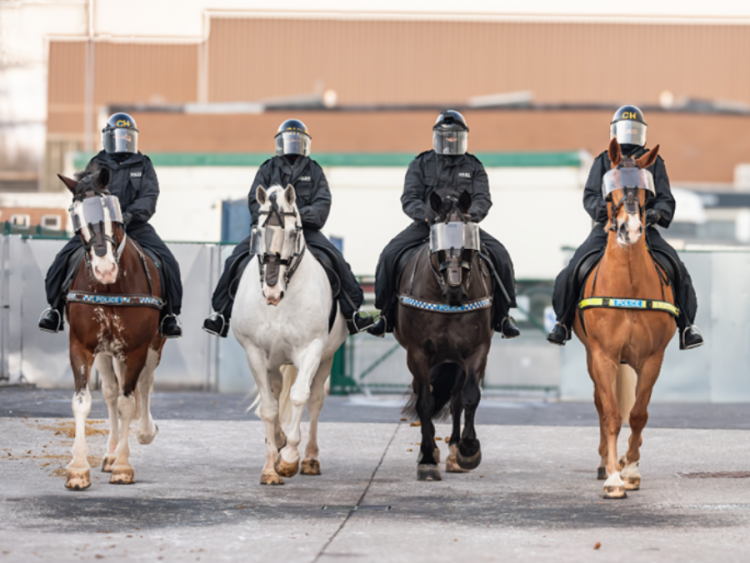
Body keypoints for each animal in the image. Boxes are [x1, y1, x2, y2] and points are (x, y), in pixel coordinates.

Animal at [57, 168, 165, 490]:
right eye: (76, 214)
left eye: (111, 211)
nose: (105, 268)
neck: (111, 288)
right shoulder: (81, 346)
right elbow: (83, 402)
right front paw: (78, 468)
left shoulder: (137, 349)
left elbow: (129, 402)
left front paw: (124, 465)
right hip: (107, 353)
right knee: (111, 393)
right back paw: (109, 452)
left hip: (152, 347)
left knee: (144, 384)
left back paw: (144, 432)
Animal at [232, 184, 348, 485]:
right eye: (258, 232)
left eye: (294, 232)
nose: (271, 290)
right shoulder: (255, 353)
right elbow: (269, 408)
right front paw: (271, 469)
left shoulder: (312, 350)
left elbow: (299, 397)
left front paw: (289, 460)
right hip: (273, 362)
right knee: (274, 394)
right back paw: (279, 440)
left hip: (326, 359)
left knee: (315, 401)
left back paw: (309, 459)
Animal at [395, 190, 495, 481]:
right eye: (438, 242)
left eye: (468, 242)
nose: (455, 288)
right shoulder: (417, 353)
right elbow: (425, 403)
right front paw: (428, 458)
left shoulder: (477, 351)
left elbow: (469, 397)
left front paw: (468, 450)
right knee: (425, 394)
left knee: (456, 400)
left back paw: (453, 452)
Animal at [573, 138, 677, 499]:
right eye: (611, 187)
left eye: (645, 190)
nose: (629, 229)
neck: (628, 285)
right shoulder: (603, 355)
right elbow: (612, 415)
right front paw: (614, 479)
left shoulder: (653, 358)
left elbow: (638, 414)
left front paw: (630, 471)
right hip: (593, 357)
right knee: (602, 406)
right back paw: (605, 462)